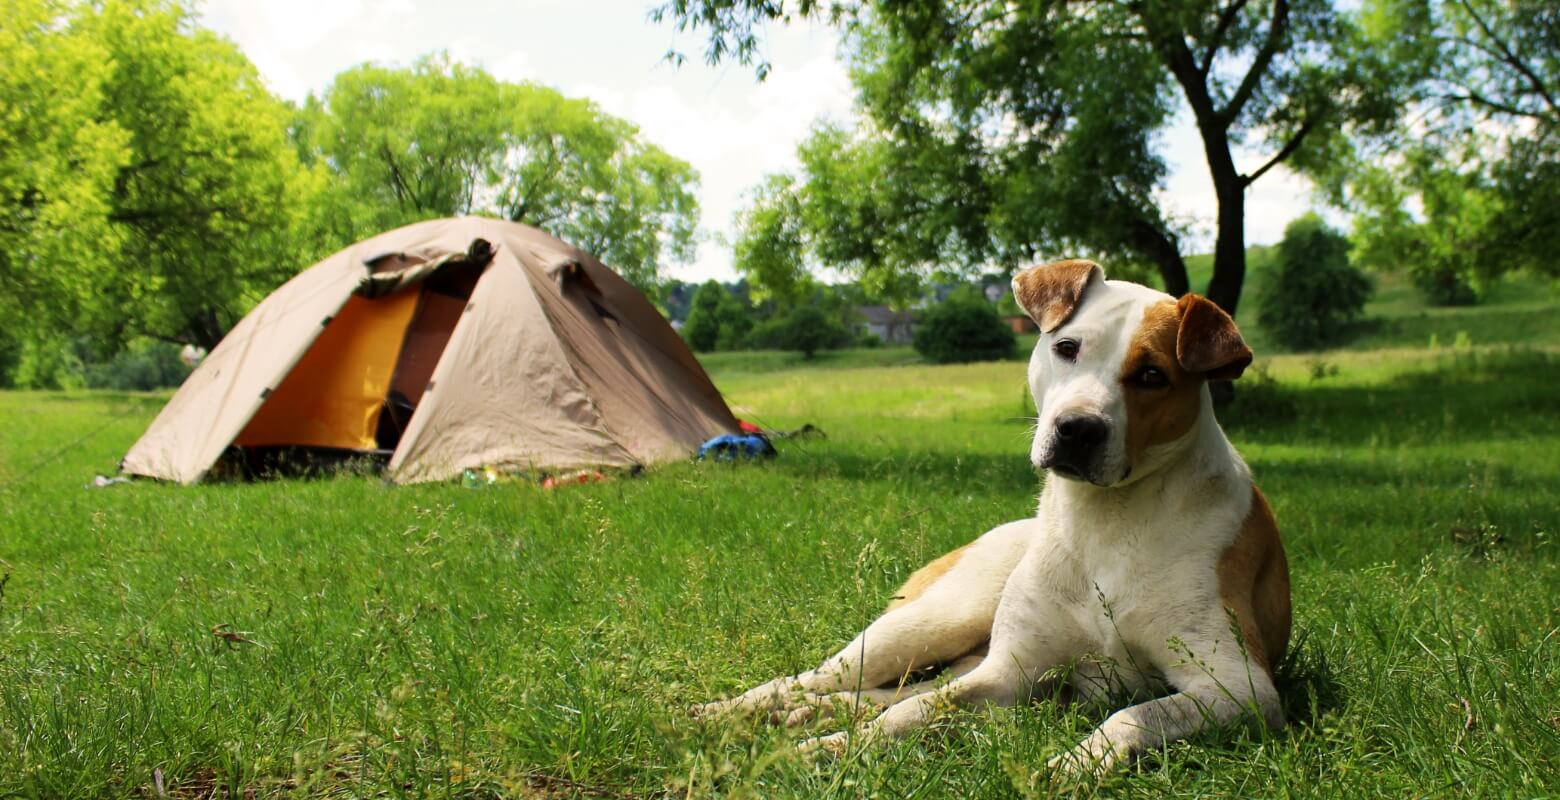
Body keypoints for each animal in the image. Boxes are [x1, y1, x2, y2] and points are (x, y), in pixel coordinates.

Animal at [698, 258, 1291, 776]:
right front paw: (824, 752)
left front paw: (1073, 765)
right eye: (1067, 347)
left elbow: (1132, 717)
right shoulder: (1010, 672)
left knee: (879, 692)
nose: (1077, 428)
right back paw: (729, 712)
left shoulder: (1237, 686)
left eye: (1151, 375)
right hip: (933, 622)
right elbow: (913, 712)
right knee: (816, 679)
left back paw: (802, 716)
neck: (1105, 520)